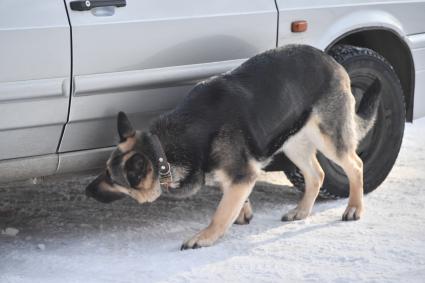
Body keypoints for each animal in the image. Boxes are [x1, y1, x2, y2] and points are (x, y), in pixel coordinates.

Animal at [84, 44, 380, 251]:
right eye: (105, 171)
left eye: (113, 179)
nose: (86, 191)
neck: (165, 149)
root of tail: (331, 60)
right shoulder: (241, 173)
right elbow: (234, 198)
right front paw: (243, 212)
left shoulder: (242, 173)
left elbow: (220, 213)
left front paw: (204, 237)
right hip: (291, 142)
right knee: (316, 174)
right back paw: (301, 211)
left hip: (329, 138)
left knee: (355, 165)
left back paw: (354, 208)